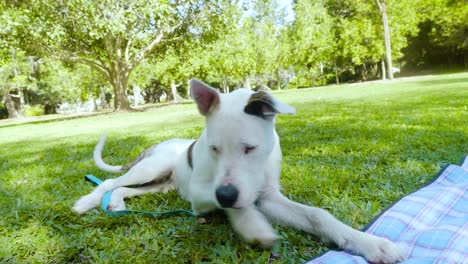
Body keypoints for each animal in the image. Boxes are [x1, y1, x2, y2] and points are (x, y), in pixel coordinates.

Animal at [73, 79, 406, 264]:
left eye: (250, 148)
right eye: (213, 148)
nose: (226, 194)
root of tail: (159, 145)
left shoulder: (268, 195)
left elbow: (317, 215)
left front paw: (371, 244)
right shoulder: (202, 195)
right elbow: (238, 206)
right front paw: (254, 226)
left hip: (160, 183)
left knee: (124, 188)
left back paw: (117, 203)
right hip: (153, 166)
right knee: (110, 181)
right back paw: (85, 202)